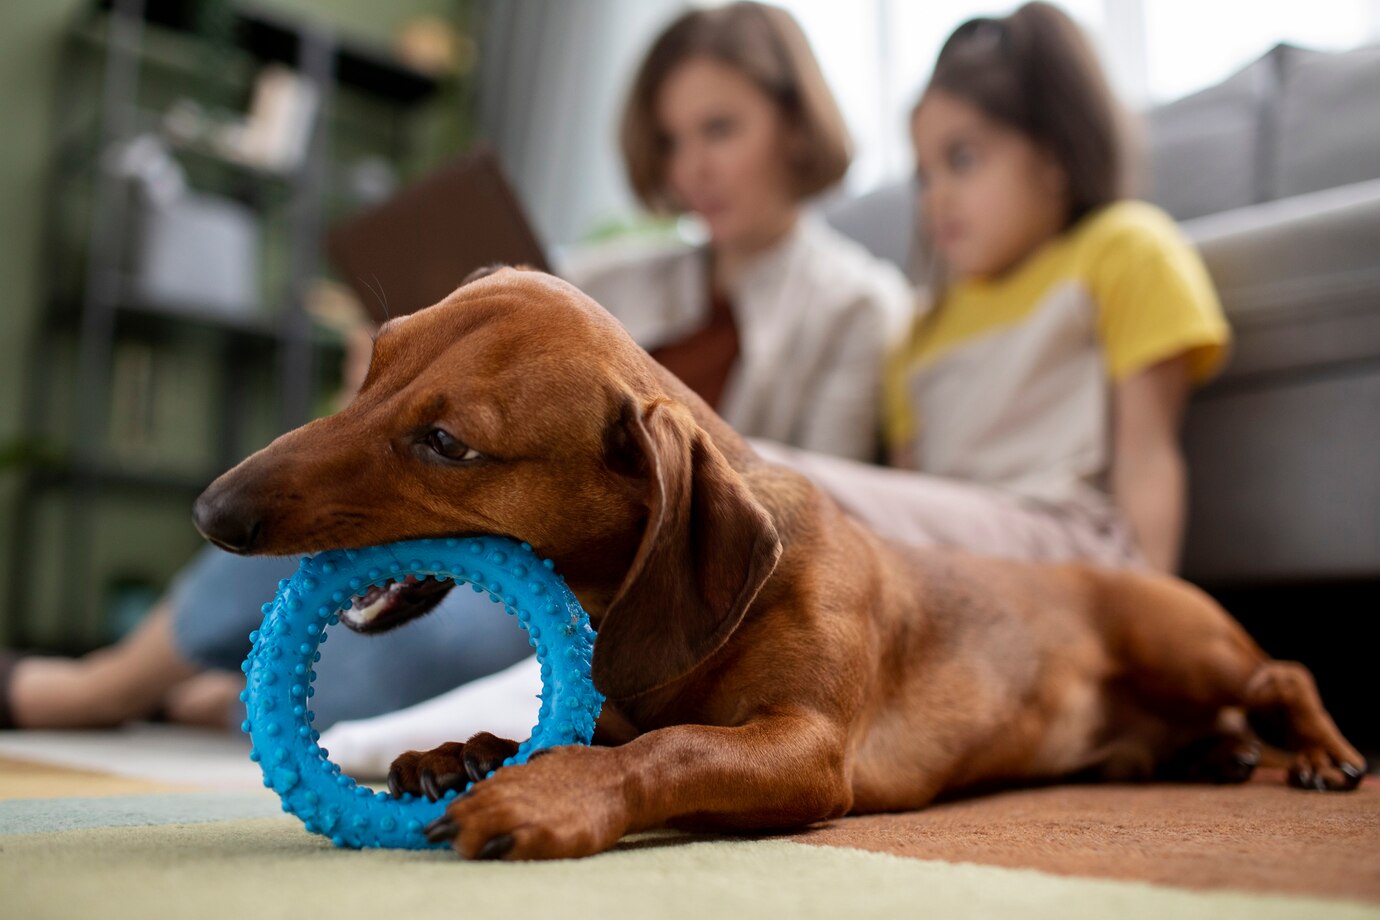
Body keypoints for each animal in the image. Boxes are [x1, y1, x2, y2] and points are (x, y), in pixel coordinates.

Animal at [191, 266, 1357, 866]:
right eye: (372, 364)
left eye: (447, 443)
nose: (212, 512)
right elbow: (604, 730)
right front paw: (462, 752)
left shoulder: (807, 750)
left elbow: (669, 751)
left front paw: (547, 795)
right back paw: (1220, 756)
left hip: (1186, 645)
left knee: (1283, 673)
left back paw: (1318, 756)